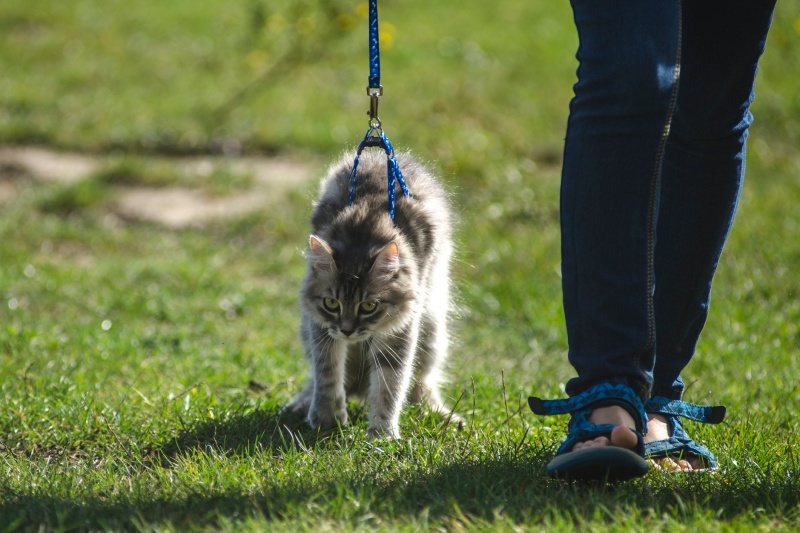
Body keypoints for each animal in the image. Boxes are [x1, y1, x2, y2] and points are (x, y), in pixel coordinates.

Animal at [282, 149, 456, 436]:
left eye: (368, 306)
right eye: (332, 303)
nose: (347, 331)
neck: (365, 223)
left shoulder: (401, 330)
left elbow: (391, 385)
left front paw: (382, 433)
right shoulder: (321, 326)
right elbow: (326, 374)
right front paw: (326, 419)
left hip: (432, 330)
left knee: (423, 383)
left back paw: (441, 414)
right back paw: (302, 403)